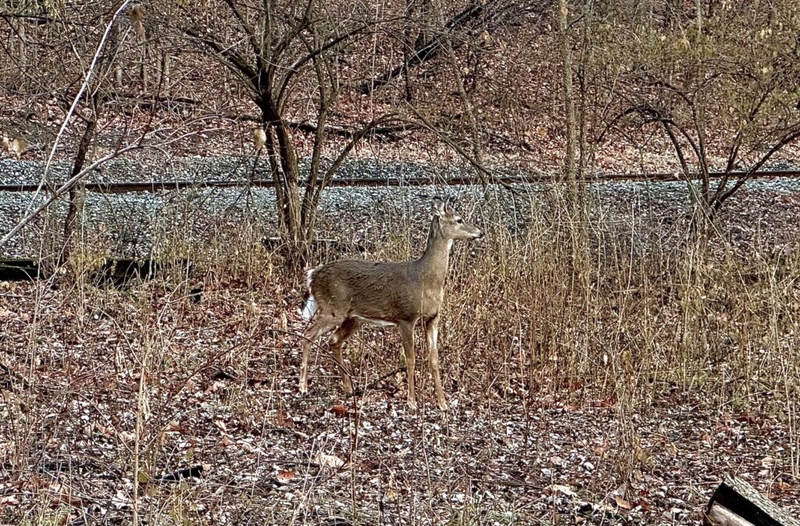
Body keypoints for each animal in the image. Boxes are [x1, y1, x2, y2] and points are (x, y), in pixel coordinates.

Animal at [298, 198, 482, 410]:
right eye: (459, 219)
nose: (480, 232)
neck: (425, 280)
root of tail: (312, 276)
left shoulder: (433, 318)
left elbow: (434, 359)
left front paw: (443, 403)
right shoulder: (406, 317)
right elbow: (411, 359)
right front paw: (411, 401)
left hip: (353, 318)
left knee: (333, 340)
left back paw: (348, 388)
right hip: (333, 308)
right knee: (308, 334)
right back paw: (302, 386)